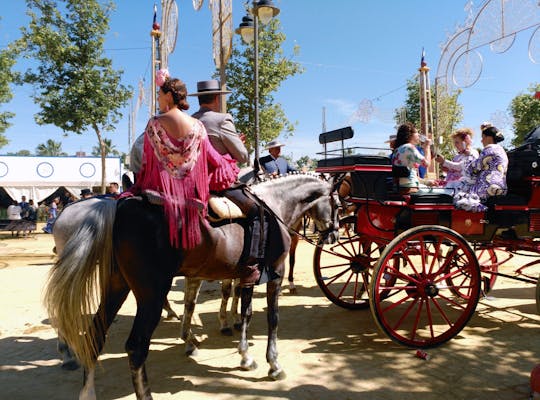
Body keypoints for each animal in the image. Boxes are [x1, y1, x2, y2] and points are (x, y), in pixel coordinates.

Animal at [45, 173, 338, 398]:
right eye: (337, 202)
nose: (333, 233)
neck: (275, 206)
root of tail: (121, 206)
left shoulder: (246, 276)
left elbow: (244, 314)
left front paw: (244, 356)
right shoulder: (275, 273)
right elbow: (272, 319)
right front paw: (273, 364)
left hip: (116, 286)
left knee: (95, 333)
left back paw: (86, 389)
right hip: (151, 294)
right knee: (136, 347)